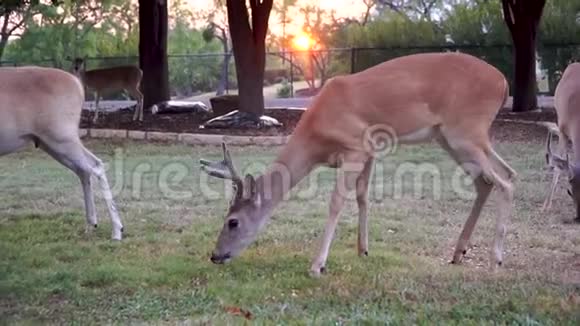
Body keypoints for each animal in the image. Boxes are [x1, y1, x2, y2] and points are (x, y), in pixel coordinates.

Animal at [0, 65, 123, 239]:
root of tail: (76, 83)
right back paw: (91, 224)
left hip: (62, 138)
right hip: (51, 142)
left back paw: (116, 230)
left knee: (95, 165)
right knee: (84, 170)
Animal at [201, 52, 516, 276]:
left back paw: (496, 260)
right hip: (451, 137)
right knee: (492, 178)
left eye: (232, 222)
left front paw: (317, 265)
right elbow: (363, 196)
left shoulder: (355, 147)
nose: (215, 255)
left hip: (465, 130)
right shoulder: (369, 151)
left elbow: (336, 202)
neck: (317, 137)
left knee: (505, 180)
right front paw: (363, 249)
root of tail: (503, 82)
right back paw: (458, 253)